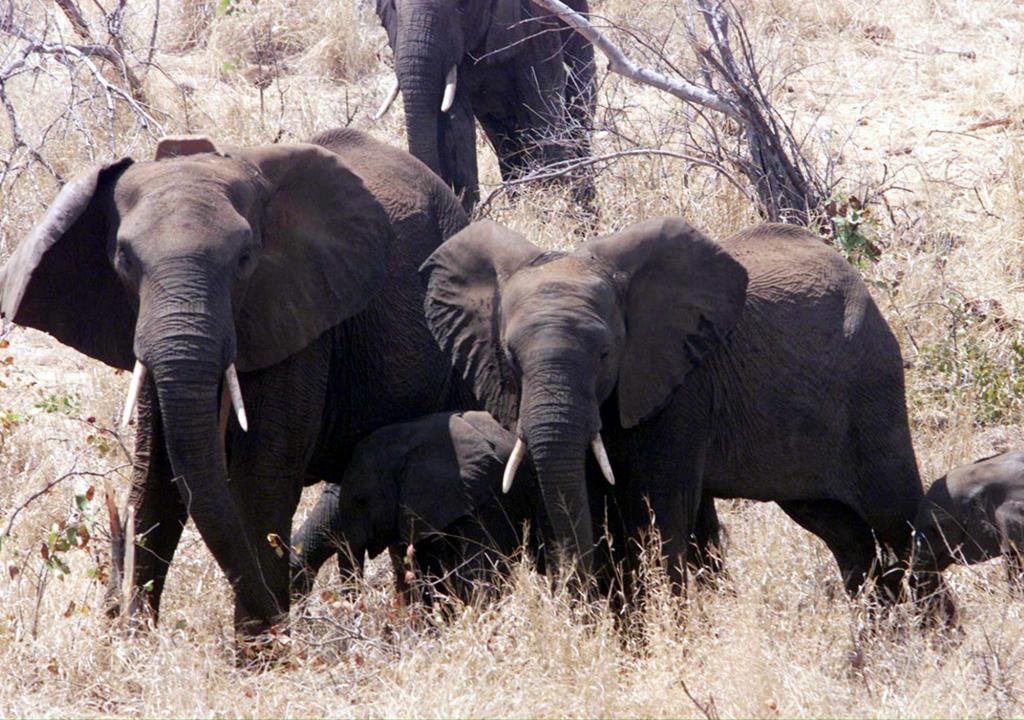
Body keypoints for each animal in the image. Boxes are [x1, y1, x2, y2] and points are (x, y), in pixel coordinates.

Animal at [0, 127, 471, 643]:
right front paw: (137, 644)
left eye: (245, 259)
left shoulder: (298, 319)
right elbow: (156, 481)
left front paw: (261, 650)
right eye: (123, 261)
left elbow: (260, 483)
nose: (286, 625)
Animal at [374, 0, 596, 213]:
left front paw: (554, 207)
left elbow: (541, 111)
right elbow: (458, 124)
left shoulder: (538, 25)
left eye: (461, 5)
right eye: (393, 7)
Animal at [420, 217, 950, 610]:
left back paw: (931, 640)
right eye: (510, 357)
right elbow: (593, 497)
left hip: (871, 383)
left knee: (896, 516)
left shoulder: (681, 385)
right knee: (844, 532)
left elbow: (656, 512)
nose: (574, 602)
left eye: (606, 355)